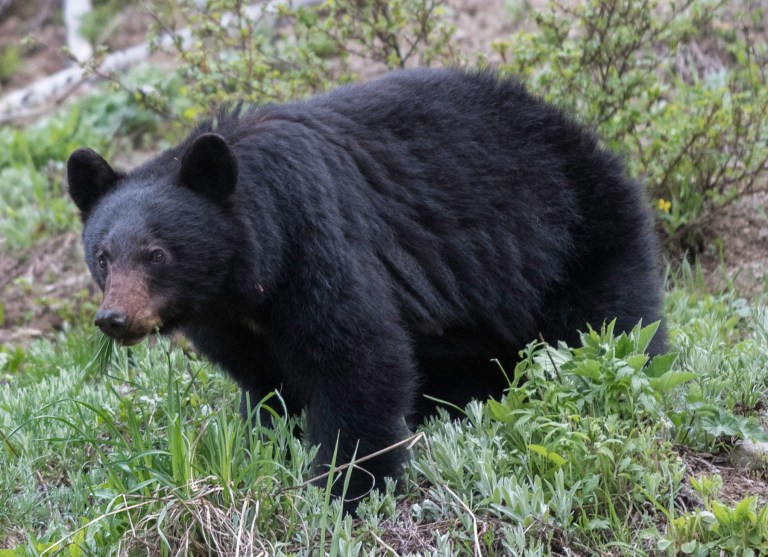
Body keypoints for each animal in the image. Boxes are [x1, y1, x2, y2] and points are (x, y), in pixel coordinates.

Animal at [66, 68, 665, 510]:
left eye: (156, 253)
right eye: (102, 257)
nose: (114, 318)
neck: (247, 272)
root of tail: (579, 131)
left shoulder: (314, 241)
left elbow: (358, 355)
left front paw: (347, 488)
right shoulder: (224, 316)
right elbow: (264, 382)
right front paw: (268, 441)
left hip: (573, 237)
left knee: (610, 322)